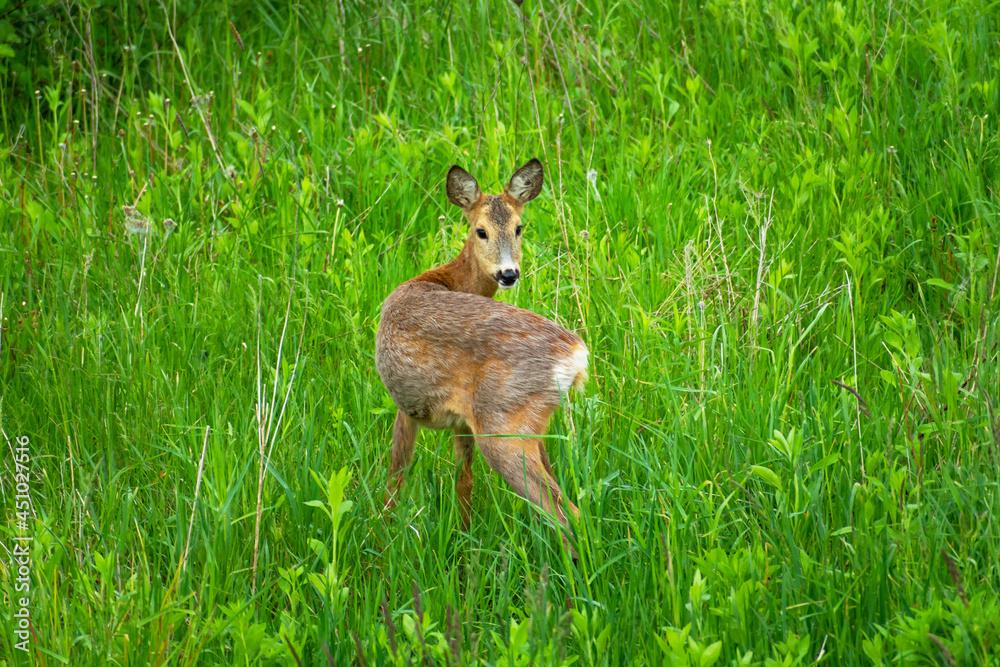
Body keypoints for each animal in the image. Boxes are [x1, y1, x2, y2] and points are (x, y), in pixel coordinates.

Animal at [375, 158, 588, 554]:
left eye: (519, 227)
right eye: (480, 231)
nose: (508, 273)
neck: (443, 278)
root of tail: (576, 355)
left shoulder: (406, 405)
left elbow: (396, 476)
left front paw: (381, 538)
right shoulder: (462, 421)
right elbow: (465, 482)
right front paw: (462, 536)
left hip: (502, 425)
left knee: (567, 514)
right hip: (533, 426)